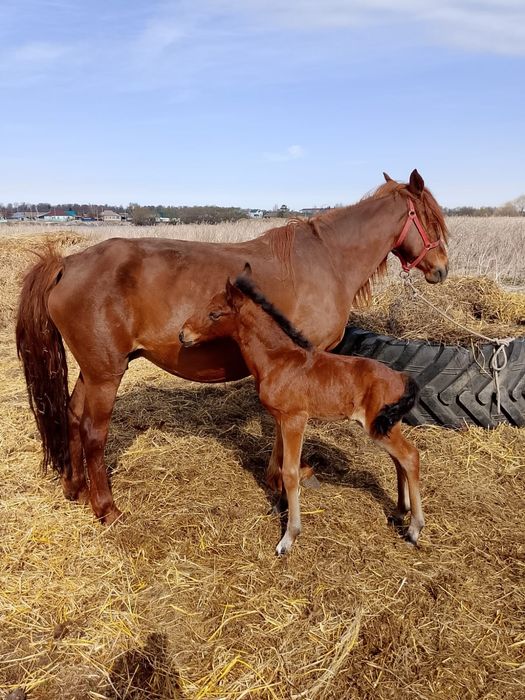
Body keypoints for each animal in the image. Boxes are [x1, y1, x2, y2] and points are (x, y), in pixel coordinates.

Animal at [15, 169, 447, 525]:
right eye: (431, 219)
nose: (441, 268)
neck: (326, 260)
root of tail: (67, 263)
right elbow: (283, 430)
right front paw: (281, 480)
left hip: (93, 371)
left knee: (72, 416)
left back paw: (75, 488)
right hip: (106, 374)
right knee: (93, 431)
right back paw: (106, 508)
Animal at [180, 268, 423, 554]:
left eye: (215, 313)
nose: (183, 334)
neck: (278, 360)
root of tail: (401, 377)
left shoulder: (295, 419)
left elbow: (290, 471)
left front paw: (289, 536)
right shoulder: (279, 419)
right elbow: (279, 463)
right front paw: (279, 506)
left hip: (378, 427)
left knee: (410, 456)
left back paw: (414, 528)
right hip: (384, 426)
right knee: (399, 460)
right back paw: (399, 511)